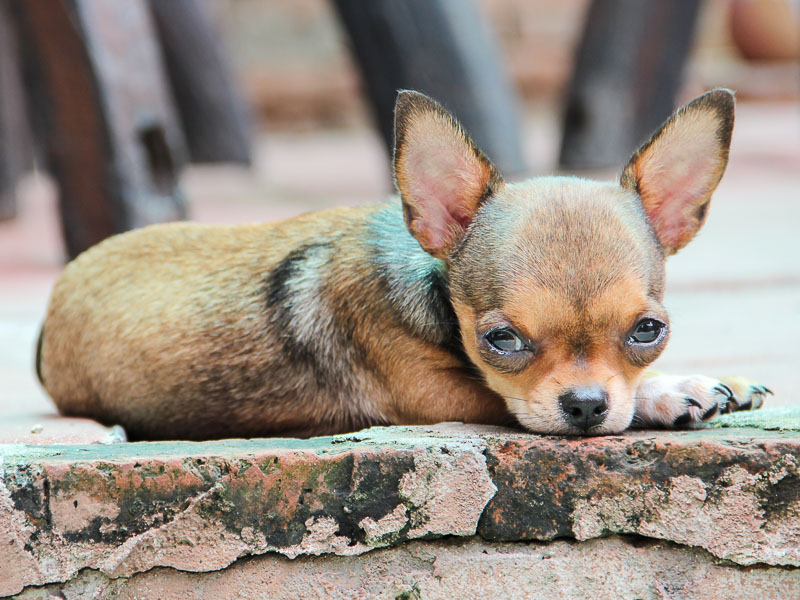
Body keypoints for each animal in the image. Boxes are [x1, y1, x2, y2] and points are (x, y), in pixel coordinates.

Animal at [37, 91, 768, 442]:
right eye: (501, 340)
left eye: (649, 331)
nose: (587, 405)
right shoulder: (443, 396)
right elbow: (510, 400)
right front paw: (667, 392)